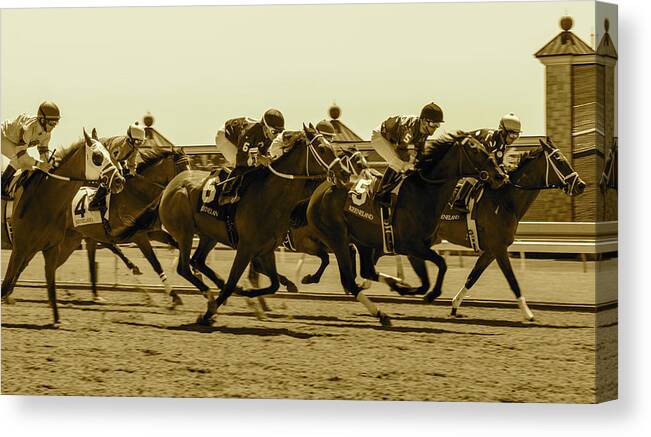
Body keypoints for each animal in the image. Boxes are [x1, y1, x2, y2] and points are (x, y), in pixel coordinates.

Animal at [0, 127, 125, 326]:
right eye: (97, 156)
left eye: (110, 154)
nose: (120, 180)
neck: (45, 199)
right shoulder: (19, 248)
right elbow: (6, 284)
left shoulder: (50, 248)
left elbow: (50, 282)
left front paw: (57, 320)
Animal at [159, 122, 342, 324]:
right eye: (323, 149)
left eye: (334, 147)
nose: (344, 173)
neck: (269, 197)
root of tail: (172, 185)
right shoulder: (246, 248)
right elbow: (233, 282)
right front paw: (209, 313)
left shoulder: (267, 248)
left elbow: (273, 284)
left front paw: (251, 292)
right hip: (185, 233)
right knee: (184, 268)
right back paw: (212, 298)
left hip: (208, 235)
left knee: (197, 261)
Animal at [308, 135, 512, 326]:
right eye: (476, 151)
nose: (500, 176)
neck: (424, 192)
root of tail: (319, 191)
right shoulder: (411, 246)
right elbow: (442, 264)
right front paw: (429, 294)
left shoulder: (417, 248)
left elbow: (426, 281)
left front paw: (407, 289)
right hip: (337, 238)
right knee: (349, 281)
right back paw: (381, 313)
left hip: (362, 240)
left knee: (367, 270)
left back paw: (392, 291)